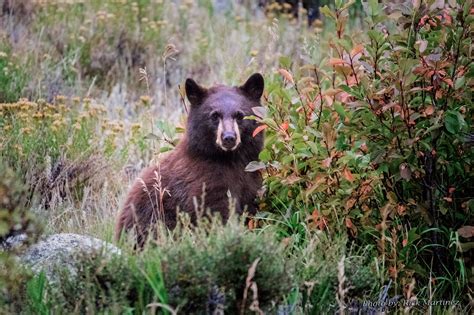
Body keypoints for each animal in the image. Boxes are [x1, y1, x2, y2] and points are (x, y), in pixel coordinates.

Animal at [114, 74, 262, 247]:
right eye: (214, 115)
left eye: (240, 115)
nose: (229, 138)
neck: (229, 159)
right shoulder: (204, 184)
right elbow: (215, 214)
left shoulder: (250, 177)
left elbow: (250, 208)